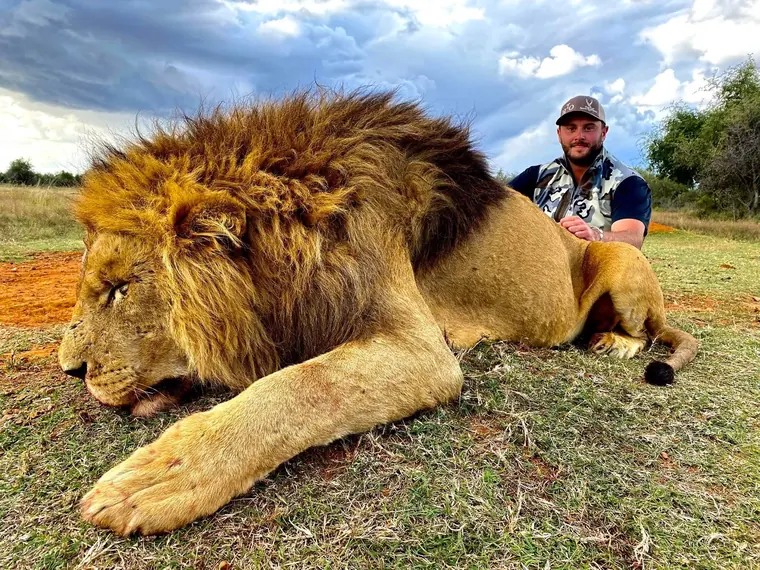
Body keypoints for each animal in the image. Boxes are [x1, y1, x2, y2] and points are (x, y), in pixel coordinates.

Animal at [58, 89, 698, 536]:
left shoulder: (422, 350)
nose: (70, 370)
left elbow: (298, 388)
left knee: (645, 329)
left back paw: (611, 341)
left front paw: (160, 475)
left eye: (118, 288)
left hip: (619, 255)